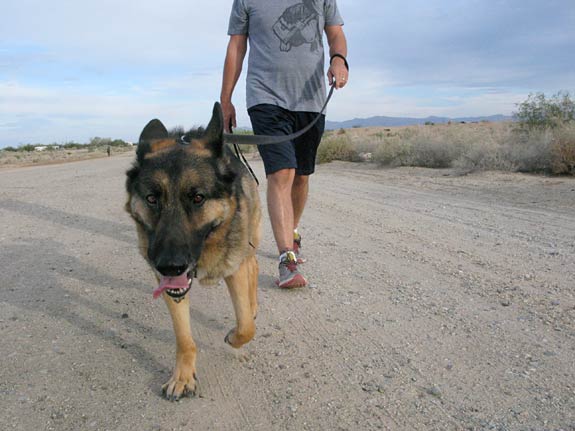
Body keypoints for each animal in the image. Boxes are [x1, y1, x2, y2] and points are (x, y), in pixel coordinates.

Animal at [127, 104, 262, 402]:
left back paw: (254, 305)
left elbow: (246, 326)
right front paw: (183, 377)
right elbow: (184, 338)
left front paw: (234, 335)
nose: (170, 266)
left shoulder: (235, 269)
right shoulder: (168, 285)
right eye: (152, 199)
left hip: (250, 241)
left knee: (254, 268)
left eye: (198, 198)